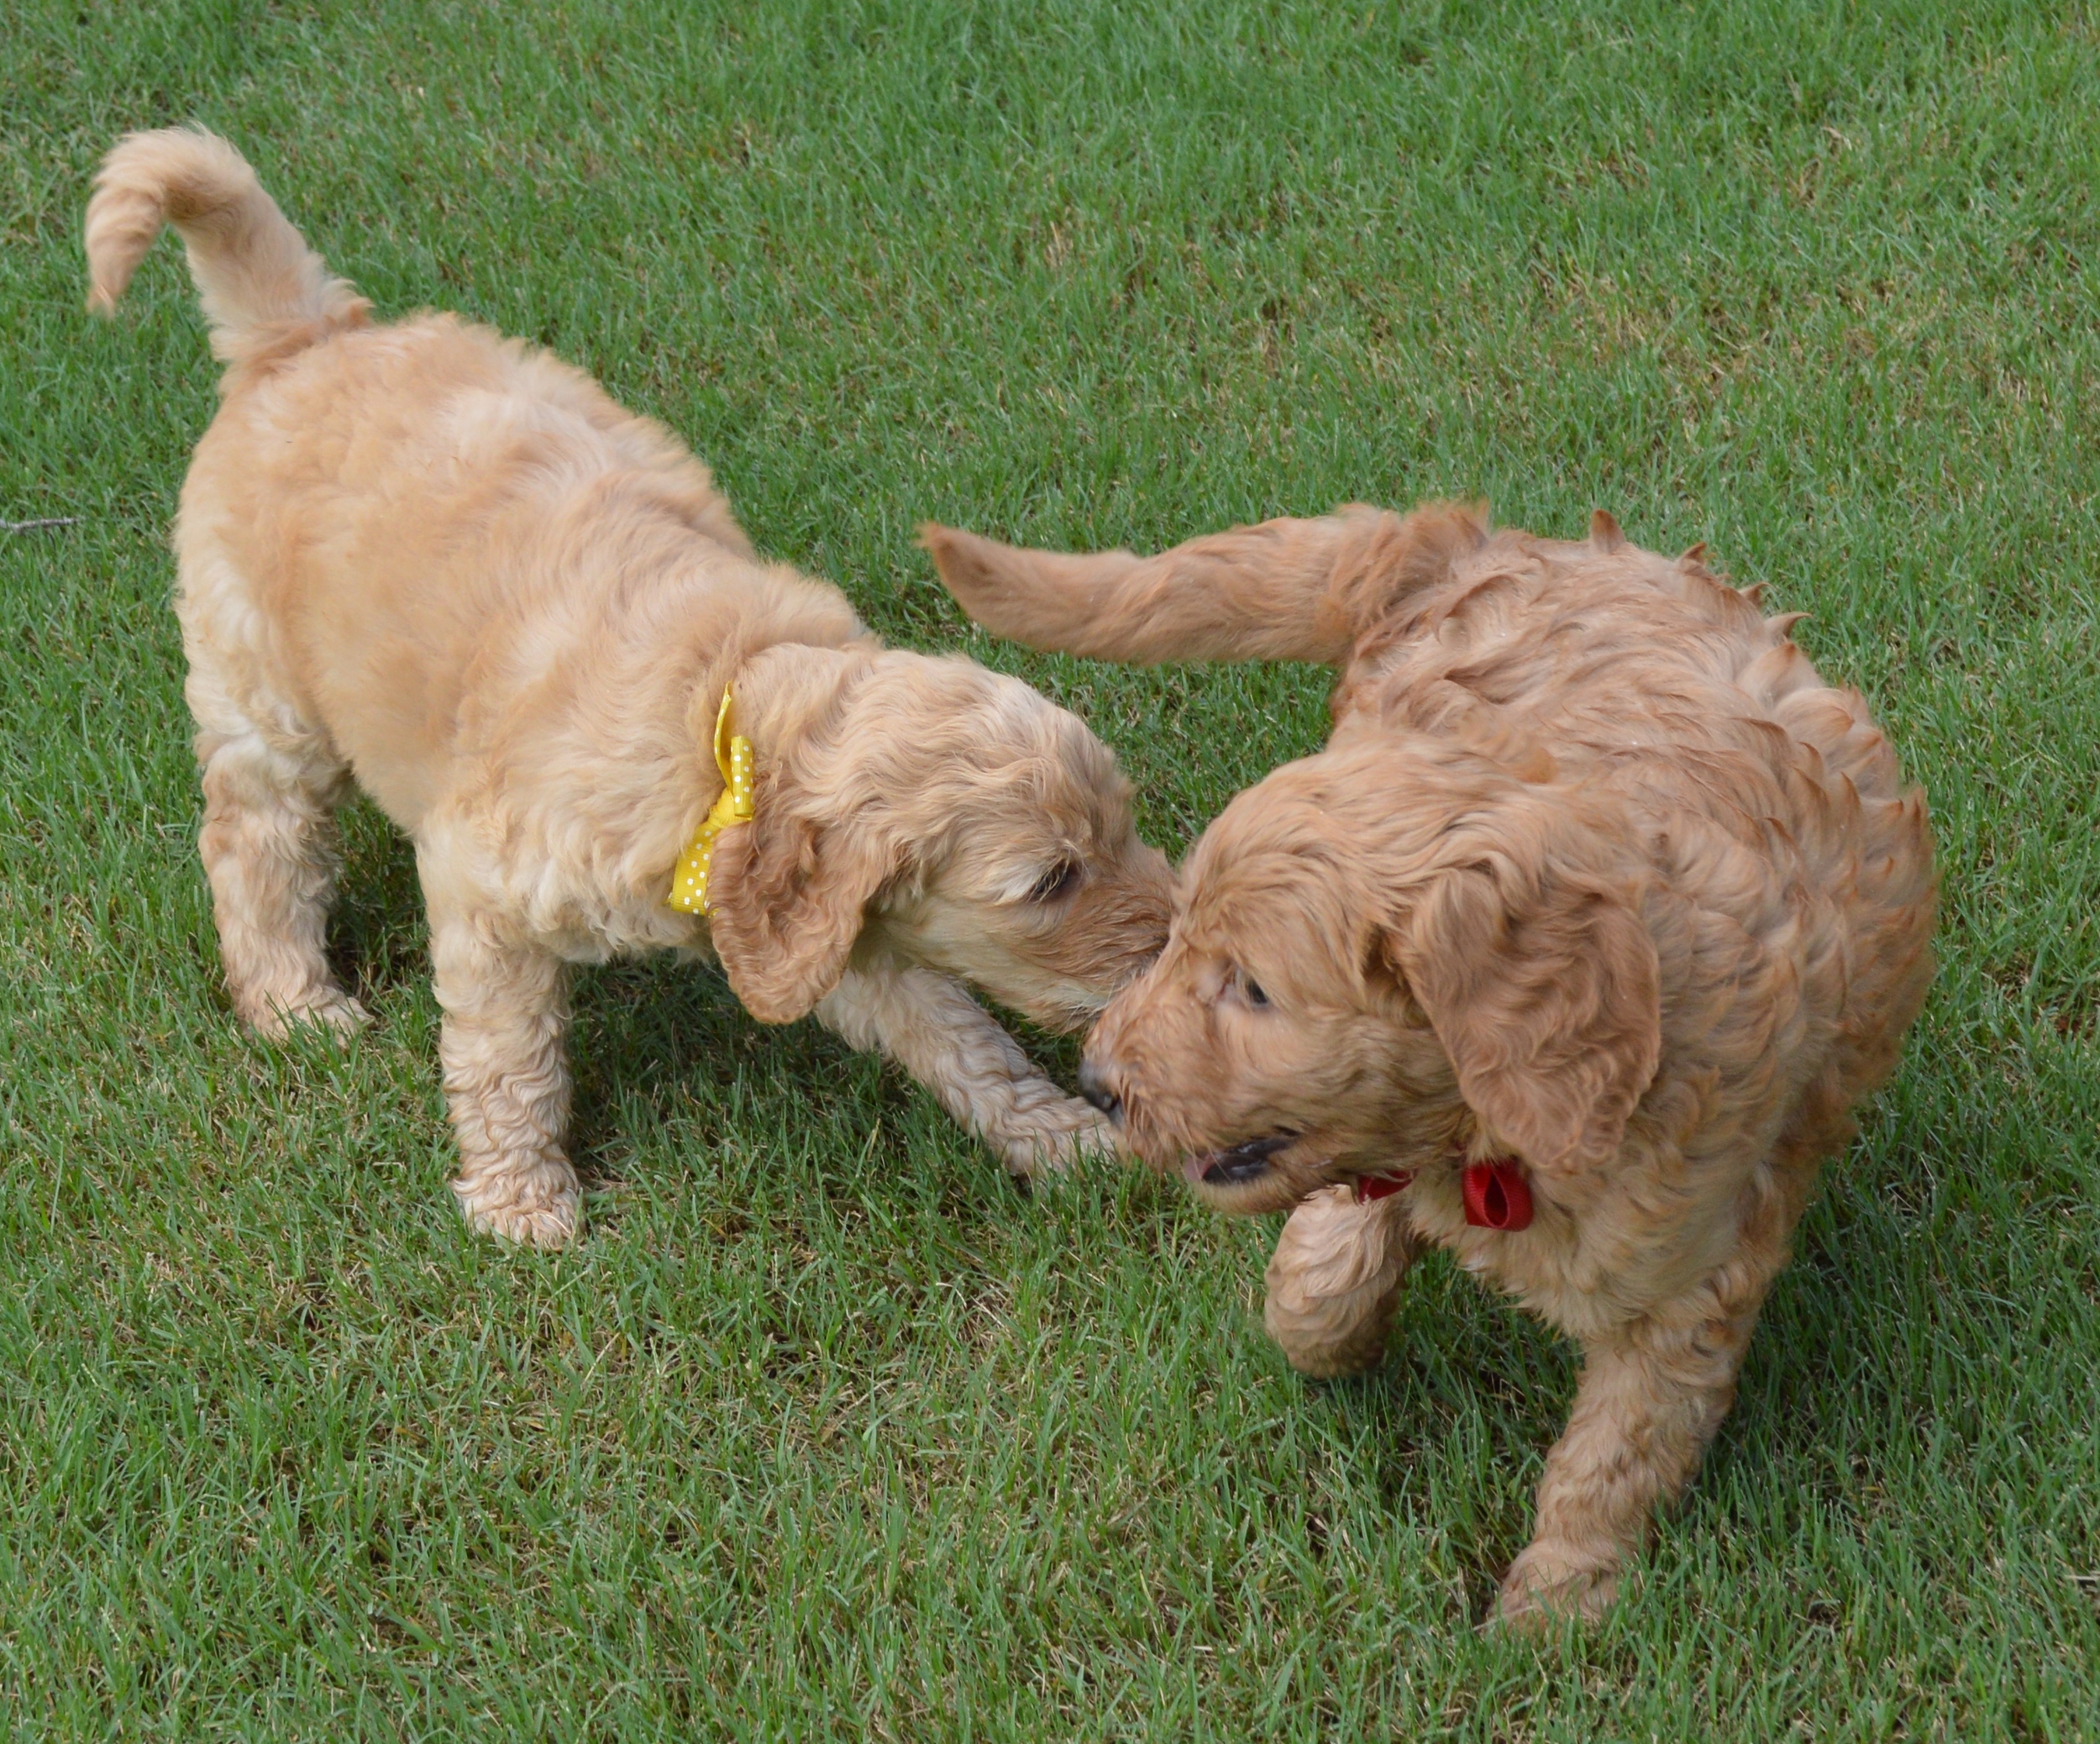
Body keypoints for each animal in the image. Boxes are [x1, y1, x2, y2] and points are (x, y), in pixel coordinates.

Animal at [90, 133, 1176, 1260]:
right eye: (1051, 881)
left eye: (1123, 828)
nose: (1174, 947)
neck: (723, 724)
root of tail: (303, 334)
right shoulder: (486, 887)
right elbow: (507, 1052)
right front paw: (521, 1199)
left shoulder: (840, 934)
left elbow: (959, 1034)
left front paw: (1058, 1136)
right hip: (262, 690)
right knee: (258, 843)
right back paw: (295, 1006)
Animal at [928, 502, 1940, 1621]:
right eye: (1181, 939)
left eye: (1253, 988)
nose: (1099, 1085)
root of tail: (1467, 540)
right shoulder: (1382, 1141)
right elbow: (1328, 1265)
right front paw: (1325, 1333)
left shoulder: (1692, 1271)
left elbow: (1616, 1451)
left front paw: (1554, 1611)